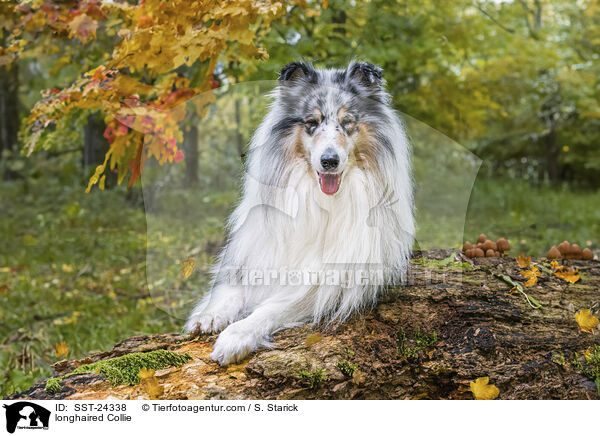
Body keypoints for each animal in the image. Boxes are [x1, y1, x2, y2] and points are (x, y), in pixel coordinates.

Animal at [185, 61, 414, 364]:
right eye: (311, 123)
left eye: (348, 123)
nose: (329, 161)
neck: (320, 199)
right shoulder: (254, 253)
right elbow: (230, 290)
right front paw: (209, 314)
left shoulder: (325, 283)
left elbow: (273, 307)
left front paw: (236, 336)